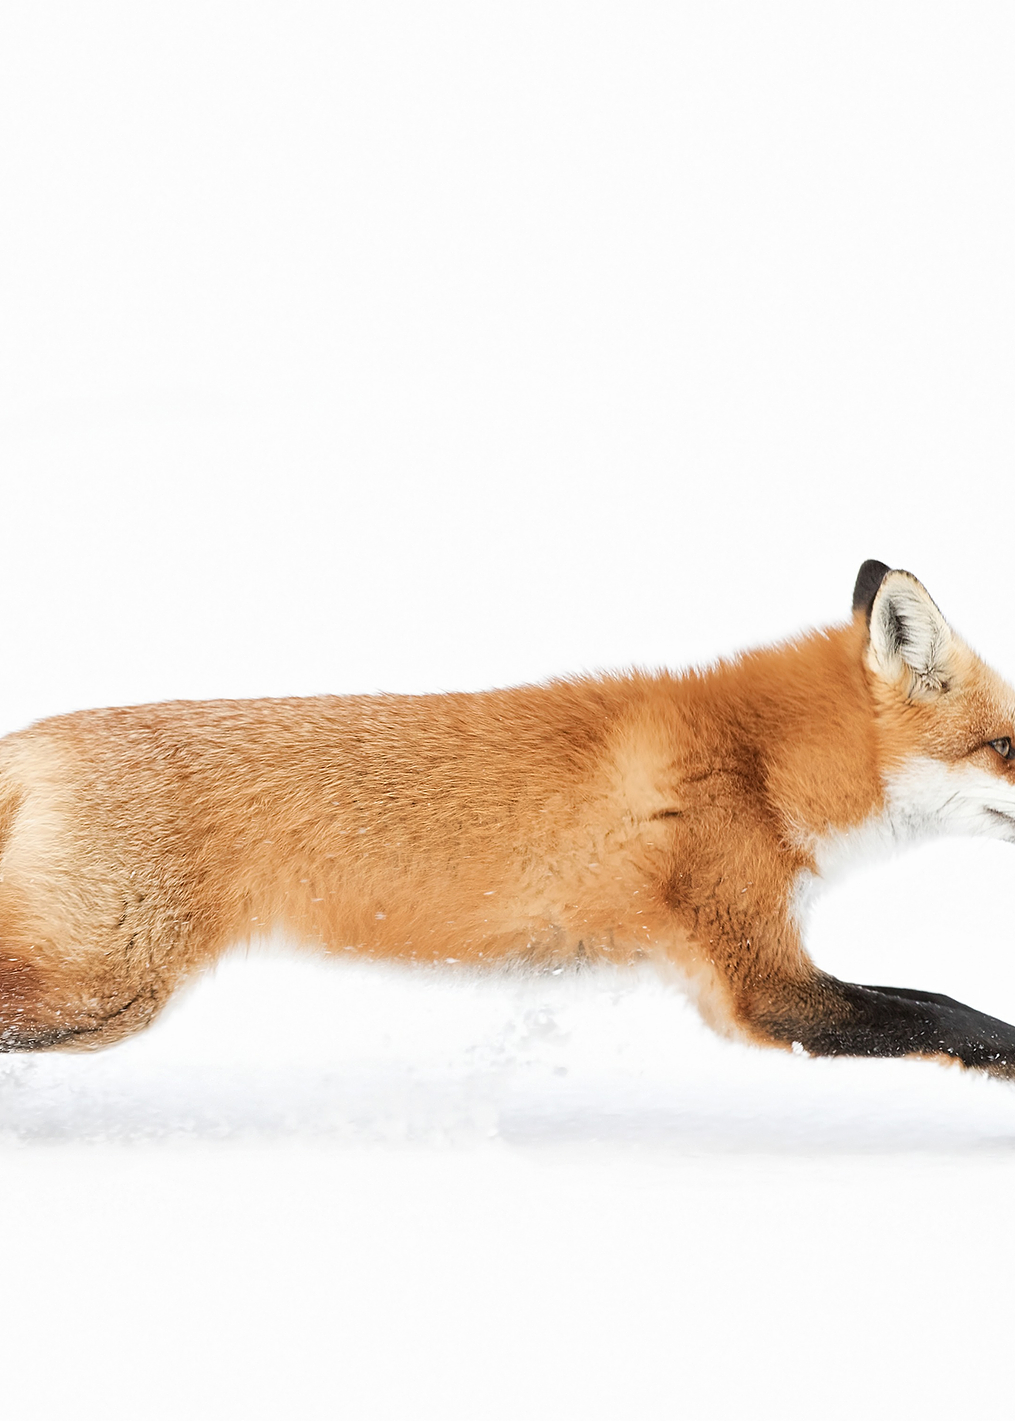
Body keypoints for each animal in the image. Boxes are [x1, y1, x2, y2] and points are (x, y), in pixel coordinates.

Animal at [3, 558, 1015, 1079]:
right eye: (1007, 743)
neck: (759, 768)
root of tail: (34, 734)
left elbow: (936, 1004)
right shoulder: (761, 986)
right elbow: (952, 1012)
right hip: (105, 989)